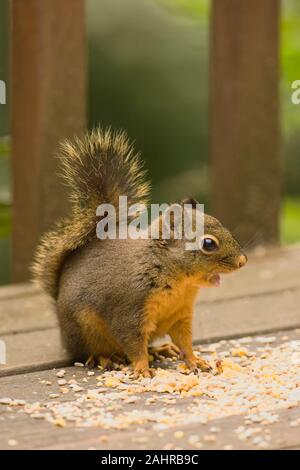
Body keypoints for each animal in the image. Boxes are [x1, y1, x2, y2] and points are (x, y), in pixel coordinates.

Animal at [32, 127, 246, 378]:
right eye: (209, 244)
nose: (242, 261)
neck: (176, 279)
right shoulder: (130, 310)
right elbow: (134, 344)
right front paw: (142, 369)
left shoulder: (181, 315)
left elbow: (184, 341)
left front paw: (195, 360)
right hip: (85, 331)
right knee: (90, 351)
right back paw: (105, 357)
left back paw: (160, 349)